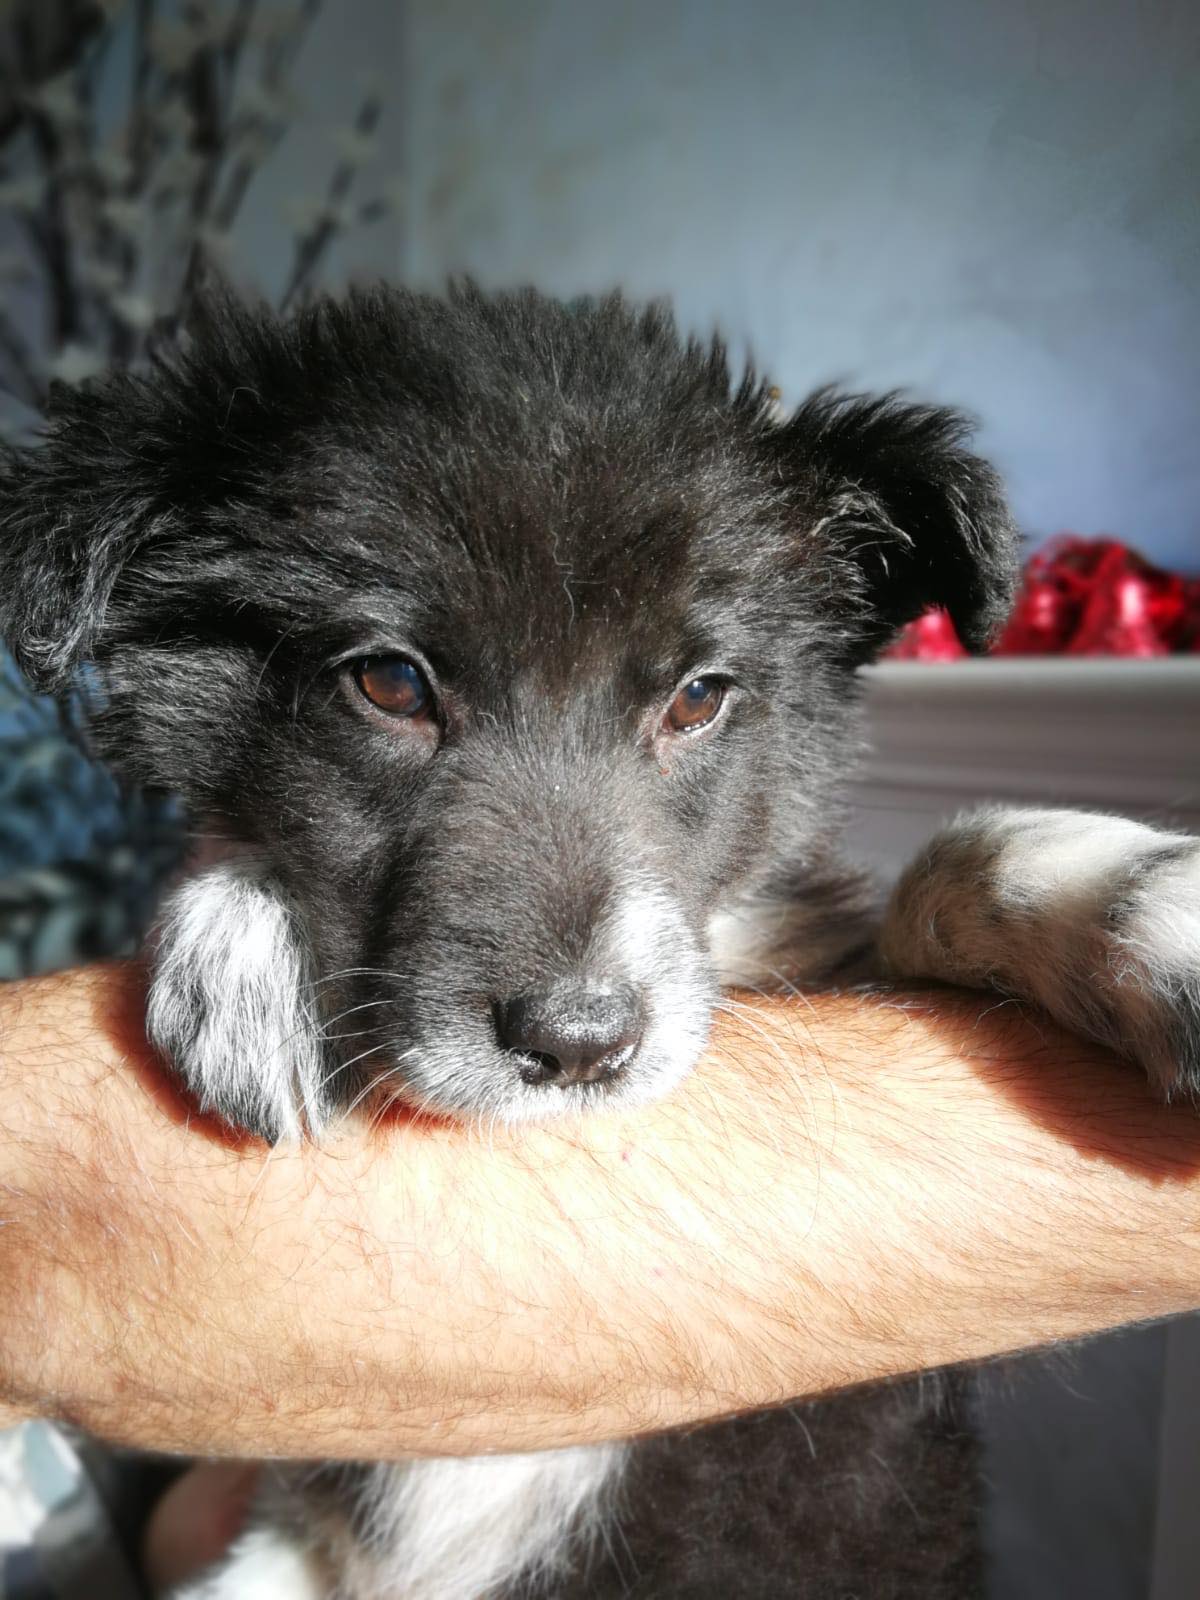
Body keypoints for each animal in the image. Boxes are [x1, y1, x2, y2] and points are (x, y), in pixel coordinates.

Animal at [2, 282, 1196, 1598]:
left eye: (699, 696)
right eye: (389, 684)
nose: (577, 1046)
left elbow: (943, 863)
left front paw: (1146, 900)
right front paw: (255, 940)